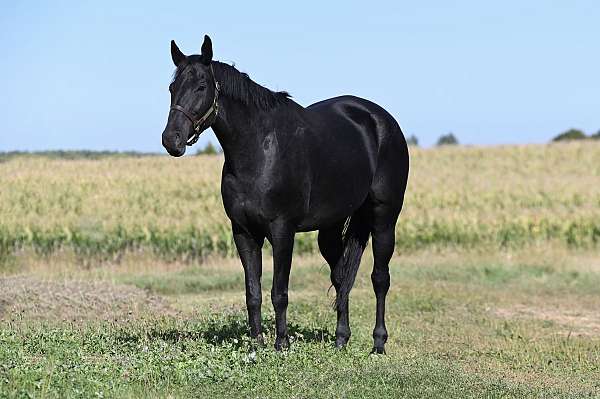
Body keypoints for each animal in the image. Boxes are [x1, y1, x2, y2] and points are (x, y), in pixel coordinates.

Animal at [162, 36, 410, 354]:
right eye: (172, 88)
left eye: (201, 86)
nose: (171, 140)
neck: (259, 149)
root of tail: (382, 121)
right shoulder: (243, 232)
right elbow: (253, 293)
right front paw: (256, 343)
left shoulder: (282, 230)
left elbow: (279, 291)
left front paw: (282, 343)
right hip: (330, 228)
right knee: (341, 276)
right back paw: (341, 338)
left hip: (384, 218)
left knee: (380, 278)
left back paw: (378, 343)